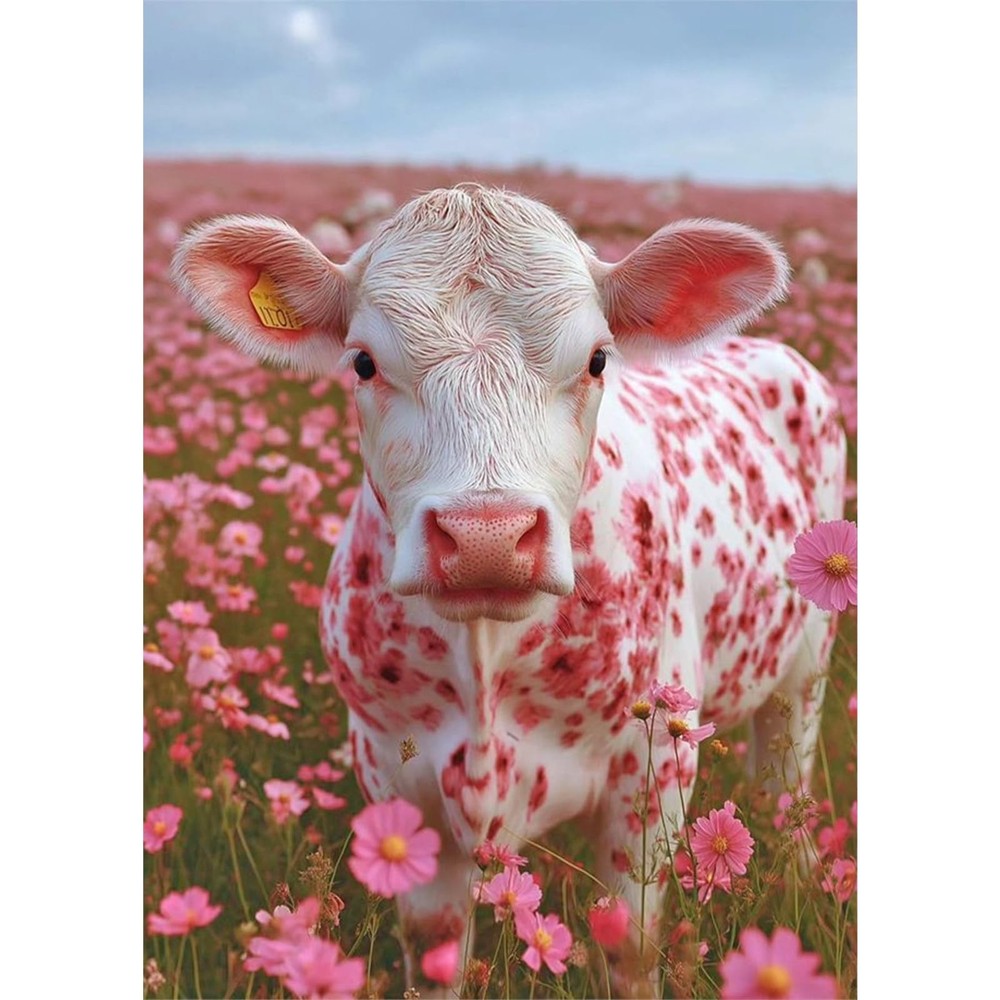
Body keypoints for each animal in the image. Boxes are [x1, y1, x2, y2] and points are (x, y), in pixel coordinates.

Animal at [172, 184, 846, 991]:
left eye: (597, 360)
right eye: (363, 363)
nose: (486, 538)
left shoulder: (653, 779)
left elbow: (631, 948)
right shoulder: (392, 775)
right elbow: (434, 953)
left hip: (806, 672)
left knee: (787, 794)